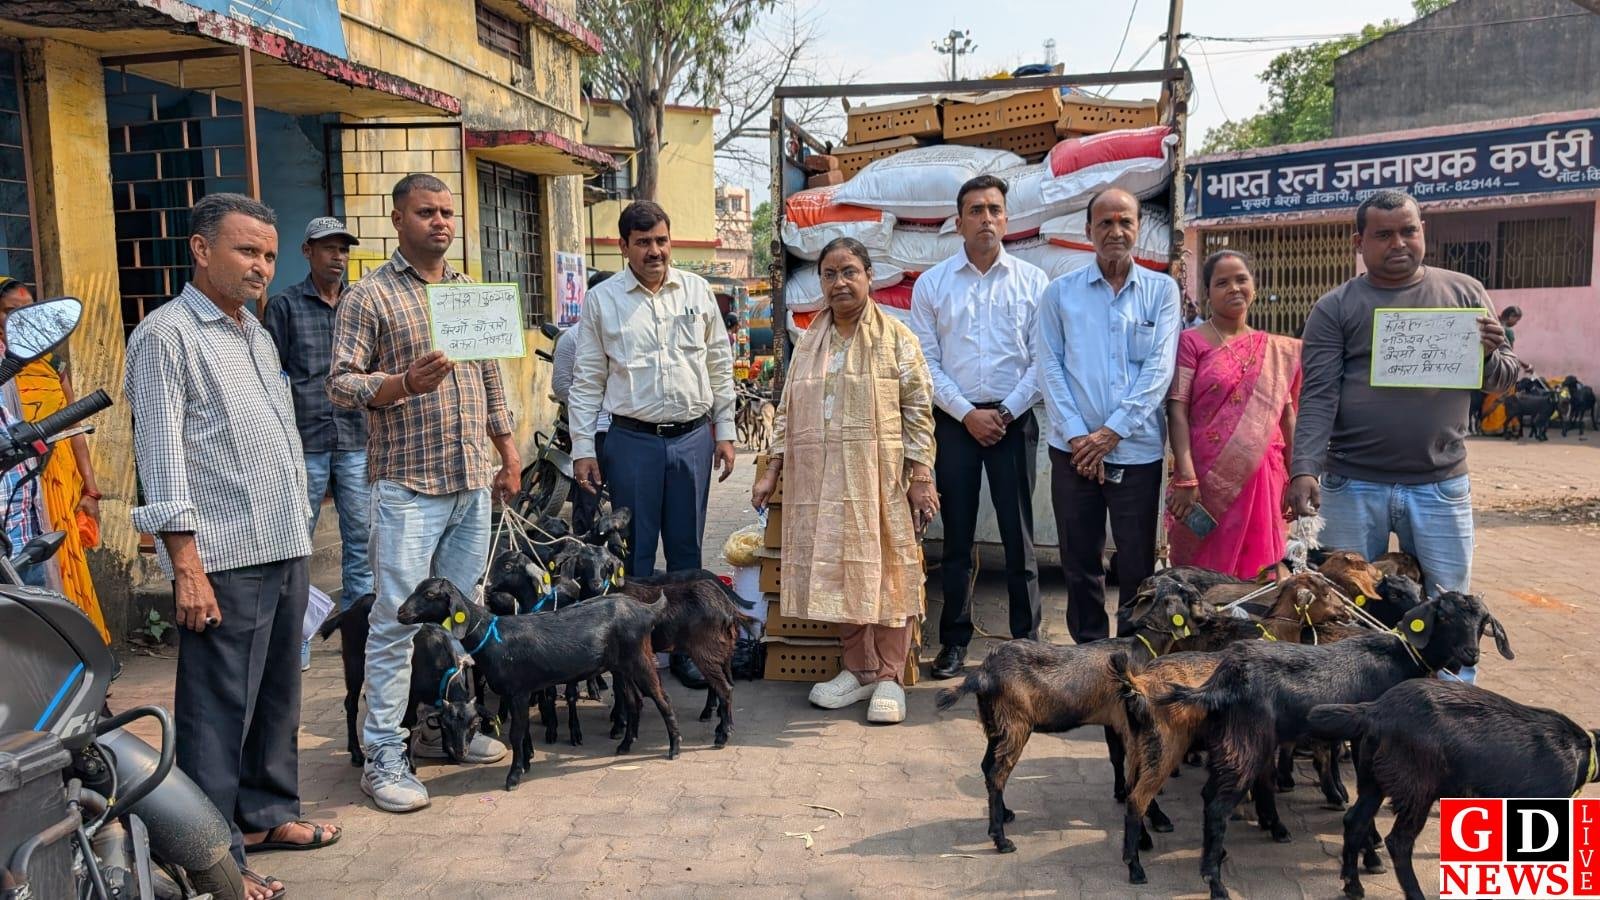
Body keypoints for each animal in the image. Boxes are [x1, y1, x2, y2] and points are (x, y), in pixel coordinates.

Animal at [316, 594, 485, 769]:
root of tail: (349, 611)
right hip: (354, 662)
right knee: (350, 704)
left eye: (474, 724)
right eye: (447, 725)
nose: (461, 752)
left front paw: (449, 754)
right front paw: (410, 763)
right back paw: (356, 754)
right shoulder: (411, 696)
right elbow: (410, 724)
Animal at [396, 577, 681, 791]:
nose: (400, 613)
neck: (493, 637)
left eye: (430, 594)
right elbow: (523, 731)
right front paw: (525, 765)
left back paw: (674, 748)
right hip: (622, 667)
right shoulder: (518, 693)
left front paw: (512, 777)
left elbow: (515, 733)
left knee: (663, 700)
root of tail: (646, 610)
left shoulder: (519, 690)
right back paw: (625, 745)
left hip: (639, 659)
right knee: (635, 700)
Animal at [932, 585, 1201, 855]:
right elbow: (1139, 776)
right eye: (1188, 594)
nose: (1204, 608)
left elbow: (1117, 758)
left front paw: (1123, 796)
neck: (1141, 650)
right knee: (998, 774)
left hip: (995, 725)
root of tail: (983, 674)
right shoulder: (1133, 725)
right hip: (1015, 725)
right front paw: (1155, 821)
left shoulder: (1115, 721)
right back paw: (1001, 840)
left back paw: (1005, 813)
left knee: (988, 767)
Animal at [1154, 591, 1513, 899]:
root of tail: (1224, 676)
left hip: (1232, 740)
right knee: (1218, 805)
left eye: (1483, 622)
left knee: (1211, 795)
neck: (1401, 658)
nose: (1471, 653)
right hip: (1248, 740)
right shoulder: (1364, 737)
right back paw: (1216, 883)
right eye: (1446, 616)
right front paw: (1370, 854)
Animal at [1309, 680, 1600, 900]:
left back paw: (1353, 886)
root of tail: (1375, 710)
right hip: (1419, 788)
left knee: (1355, 821)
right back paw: (1414, 894)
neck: (1582, 752)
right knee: (1399, 841)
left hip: (1373, 780)